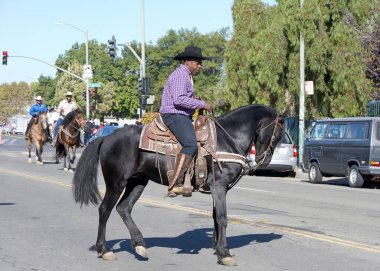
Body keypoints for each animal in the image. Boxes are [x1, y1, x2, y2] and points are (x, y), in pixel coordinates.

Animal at [72, 105, 284, 266]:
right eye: (278, 134)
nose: (264, 161)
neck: (227, 139)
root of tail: (107, 137)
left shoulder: (216, 188)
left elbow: (215, 216)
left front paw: (218, 248)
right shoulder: (220, 185)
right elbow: (222, 217)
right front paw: (225, 253)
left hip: (138, 181)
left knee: (123, 208)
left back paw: (139, 244)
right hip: (116, 183)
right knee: (105, 210)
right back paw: (104, 249)